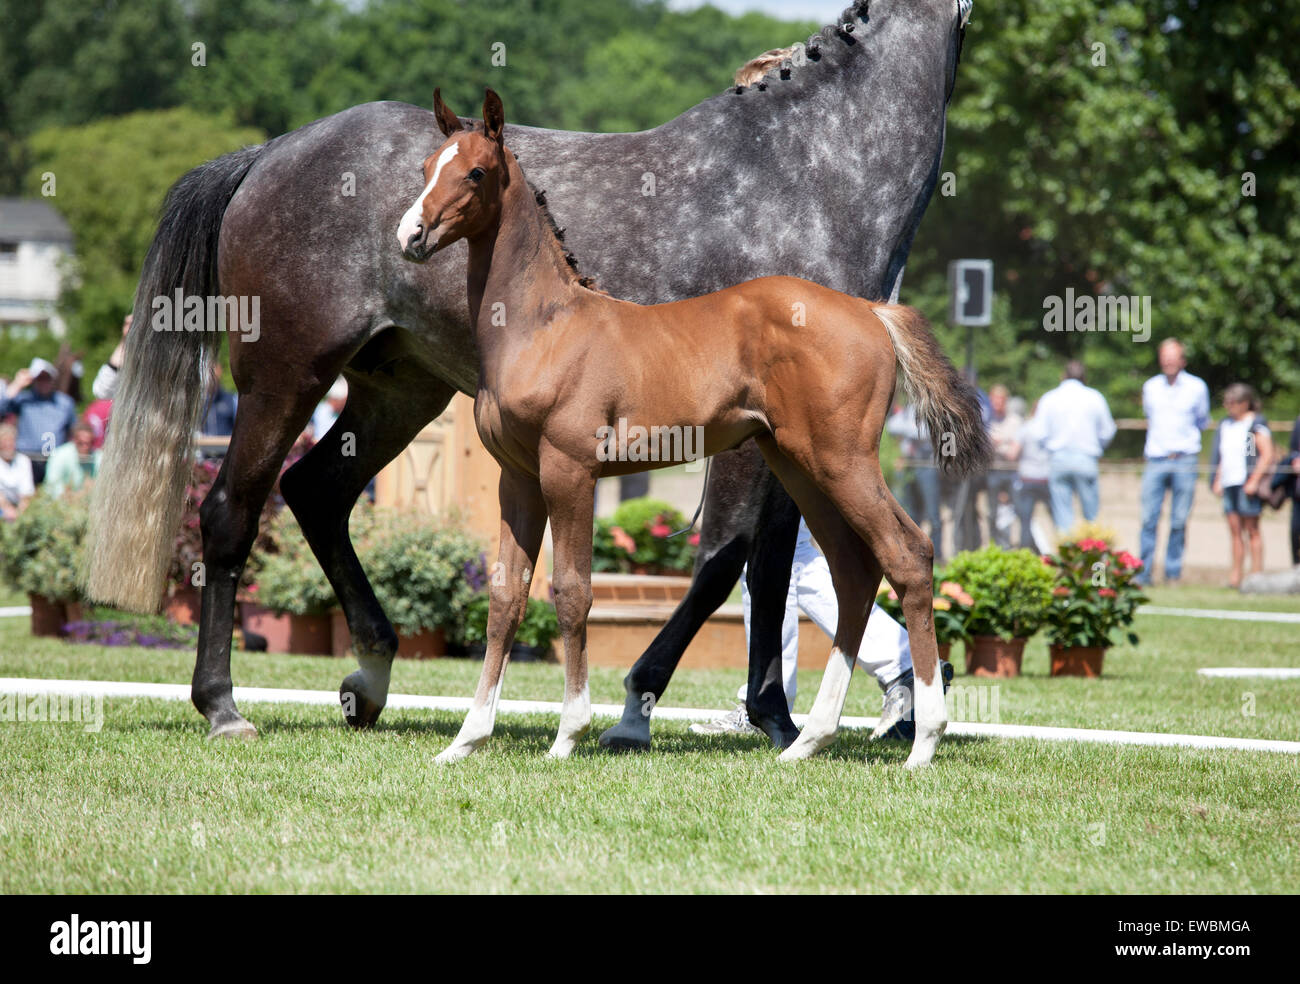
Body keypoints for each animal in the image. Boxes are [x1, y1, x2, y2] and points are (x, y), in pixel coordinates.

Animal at [400, 90, 987, 769]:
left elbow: (571, 591)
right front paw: (467, 739)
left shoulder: (569, 470)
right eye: (425, 168)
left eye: (475, 172)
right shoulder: (516, 477)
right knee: (854, 573)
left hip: (843, 459)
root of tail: (871, 310)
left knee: (908, 555)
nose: (411, 235)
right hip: (799, 463)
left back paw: (924, 742)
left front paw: (568, 734)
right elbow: (505, 597)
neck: (543, 326)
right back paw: (808, 741)